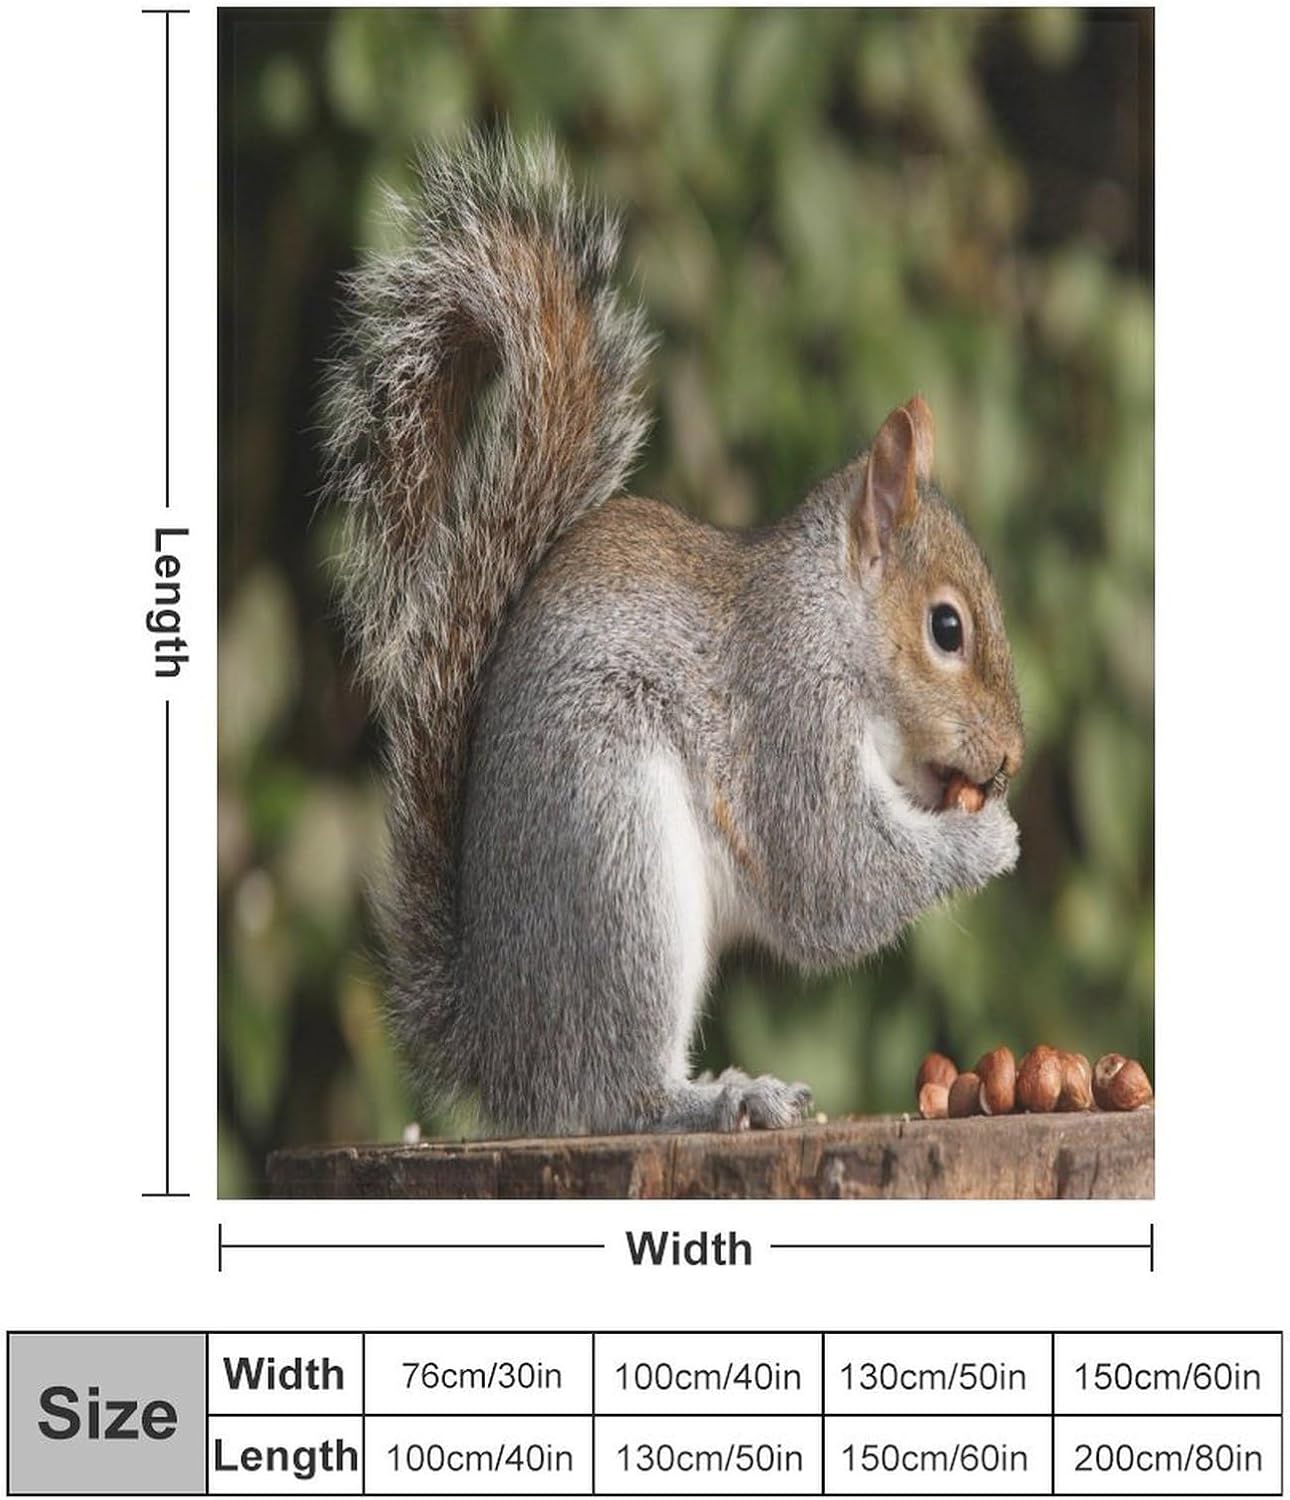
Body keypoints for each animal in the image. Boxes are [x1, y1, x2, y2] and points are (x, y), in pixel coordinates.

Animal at [323, 133, 1024, 1137]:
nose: (1009, 759)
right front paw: (988, 841)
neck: (831, 620)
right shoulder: (787, 712)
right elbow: (833, 876)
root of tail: (501, 1056)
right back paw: (723, 1096)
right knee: (612, 1096)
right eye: (946, 628)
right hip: (619, 858)